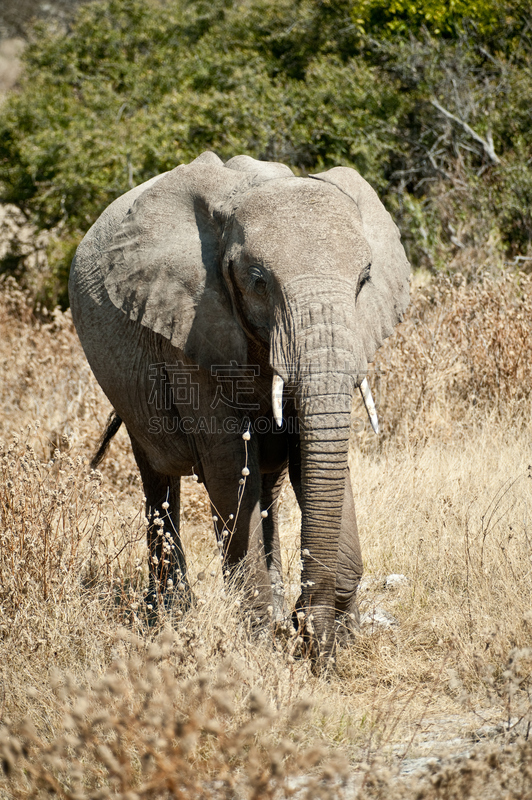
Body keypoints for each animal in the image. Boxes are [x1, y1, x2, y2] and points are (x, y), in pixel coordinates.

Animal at [69, 152, 412, 668]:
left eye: (364, 279)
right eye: (258, 281)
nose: (306, 628)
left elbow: (314, 460)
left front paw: (335, 639)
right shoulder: (189, 331)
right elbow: (230, 469)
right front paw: (264, 645)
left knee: (267, 487)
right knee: (159, 480)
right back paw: (169, 616)